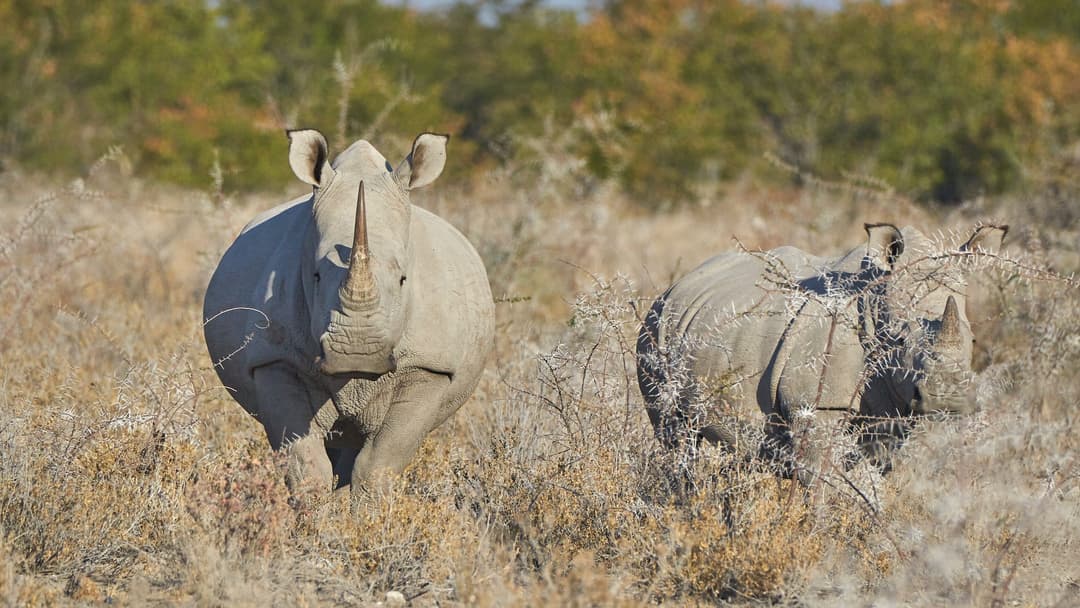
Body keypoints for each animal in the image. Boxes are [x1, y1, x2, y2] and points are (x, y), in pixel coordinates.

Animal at [203, 129, 495, 499]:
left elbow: (380, 464)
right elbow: (304, 464)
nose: (357, 354)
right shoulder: (275, 359)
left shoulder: (428, 367)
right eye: (315, 276)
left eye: (403, 279)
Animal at [636, 223, 1006, 480]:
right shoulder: (818, 403)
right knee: (676, 436)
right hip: (654, 330)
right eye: (898, 341)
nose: (948, 400)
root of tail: (678, 283)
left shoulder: (895, 417)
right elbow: (825, 485)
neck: (872, 303)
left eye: (974, 342)